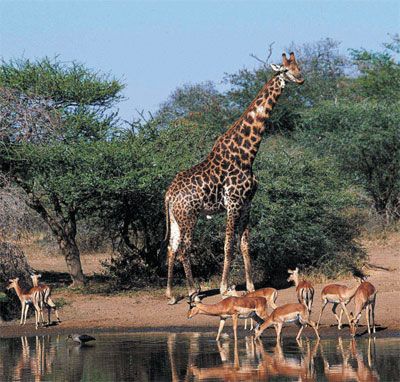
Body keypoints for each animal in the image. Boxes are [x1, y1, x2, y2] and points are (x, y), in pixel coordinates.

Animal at [164, 53, 304, 304]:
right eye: (285, 70)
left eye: (299, 66)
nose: (301, 79)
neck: (247, 154)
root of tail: (169, 194)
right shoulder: (233, 203)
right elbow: (228, 245)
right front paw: (225, 288)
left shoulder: (247, 204)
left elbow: (245, 244)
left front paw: (250, 286)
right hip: (190, 216)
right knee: (184, 249)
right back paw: (193, 293)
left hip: (176, 217)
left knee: (172, 247)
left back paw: (171, 294)